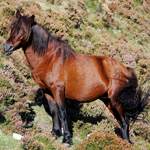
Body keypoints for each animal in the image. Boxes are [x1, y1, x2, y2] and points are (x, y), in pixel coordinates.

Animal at [2, 10, 149, 144]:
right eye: (12, 27)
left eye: (23, 30)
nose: (6, 47)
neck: (49, 58)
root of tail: (125, 68)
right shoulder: (47, 92)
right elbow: (54, 112)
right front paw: (54, 134)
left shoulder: (58, 90)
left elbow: (62, 113)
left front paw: (67, 138)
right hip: (108, 101)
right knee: (121, 121)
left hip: (115, 101)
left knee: (125, 122)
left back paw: (126, 143)